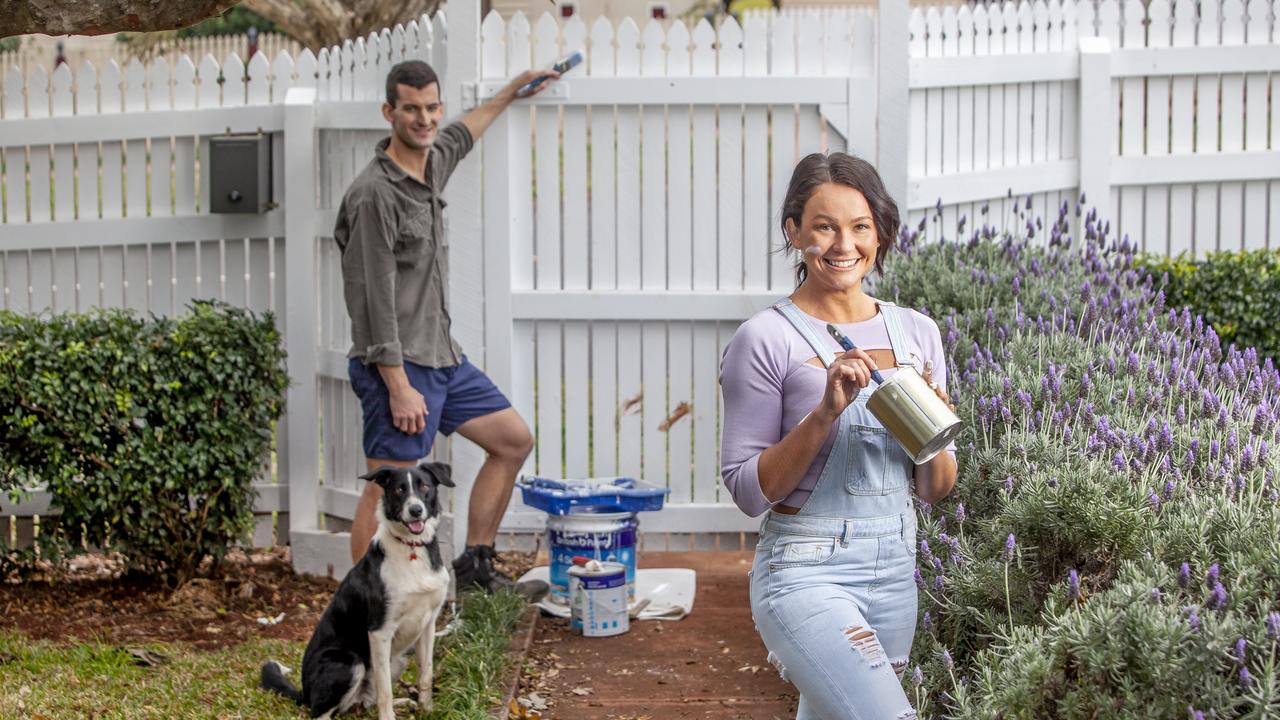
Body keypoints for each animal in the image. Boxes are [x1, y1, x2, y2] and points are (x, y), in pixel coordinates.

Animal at [259, 458, 455, 717]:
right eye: (399, 489)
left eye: (424, 486)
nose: (415, 510)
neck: (411, 548)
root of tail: (305, 692)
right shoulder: (380, 631)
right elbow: (385, 689)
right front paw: (388, 717)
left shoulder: (427, 625)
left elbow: (426, 674)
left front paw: (427, 710)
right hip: (350, 663)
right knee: (321, 712)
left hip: (398, 657)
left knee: (363, 703)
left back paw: (403, 703)